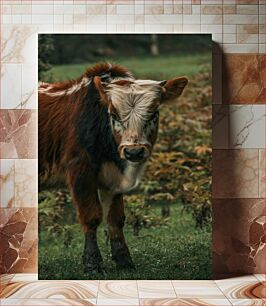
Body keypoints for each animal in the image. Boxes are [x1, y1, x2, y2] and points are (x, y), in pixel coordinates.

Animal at [38, 63, 188, 274]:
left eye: (154, 114)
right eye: (114, 115)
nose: (134, 152)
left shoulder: (114, 178)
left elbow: (116, 219)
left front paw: (124, 260)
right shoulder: (80, 171)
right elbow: (91, 216)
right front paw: (92, 263)